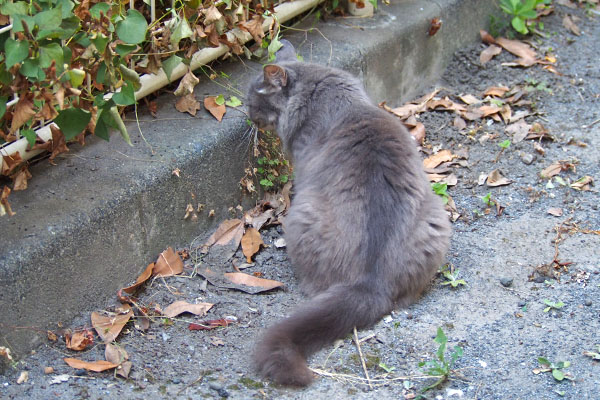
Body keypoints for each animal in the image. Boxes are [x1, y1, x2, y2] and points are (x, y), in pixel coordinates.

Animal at [245, 39, 450, 386]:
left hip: (302, 215)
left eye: (251, 100)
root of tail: (370, 283)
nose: (247, 116)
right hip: (436, 217)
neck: (315, 88)